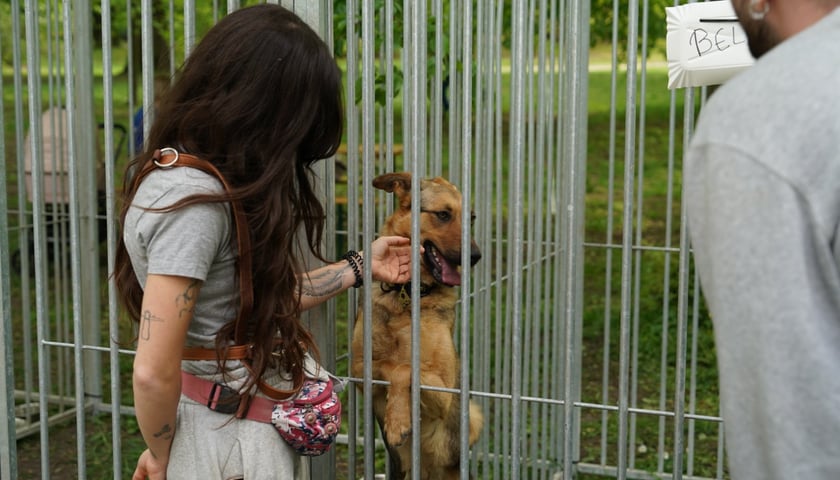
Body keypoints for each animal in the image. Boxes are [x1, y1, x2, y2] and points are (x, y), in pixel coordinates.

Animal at [352, 171, 486, 478]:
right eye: (443, 214)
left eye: (471, 218)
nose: (475, 257)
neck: (408, 294)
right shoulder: (359, 371)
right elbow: (392, 365)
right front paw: (397, 420)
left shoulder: (444, 391)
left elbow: (406, 368)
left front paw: (398, 421)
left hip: (472, 415)